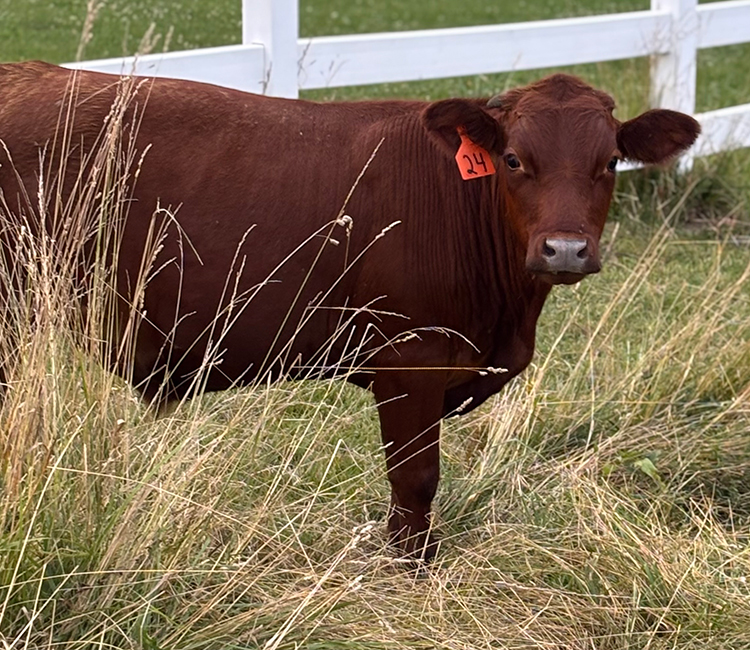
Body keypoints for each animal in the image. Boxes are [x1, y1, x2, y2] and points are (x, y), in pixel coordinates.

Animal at [0, 61, 699, 560]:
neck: (507, 322)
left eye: (610, 162)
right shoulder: (410, 358)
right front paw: (411, 570)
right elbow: (415, 478)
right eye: (512, 159)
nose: (565, 249)